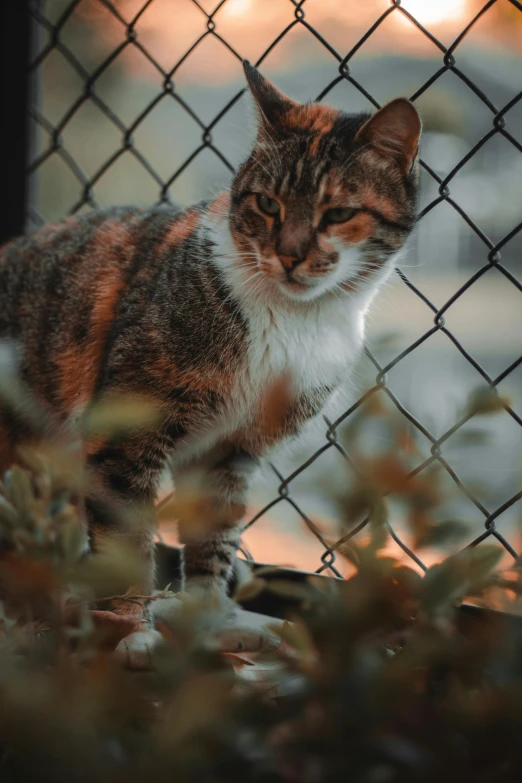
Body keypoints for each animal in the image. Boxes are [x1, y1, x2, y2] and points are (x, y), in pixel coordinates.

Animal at [0, 62, 418, 632]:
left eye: (338, 214)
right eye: (267, 203)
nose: (289, 254)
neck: (293, 323)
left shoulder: (229, 453)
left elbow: (214, 536)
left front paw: (204, 621)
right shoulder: (125, 434)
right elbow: (127, 541)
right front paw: (128, 627)